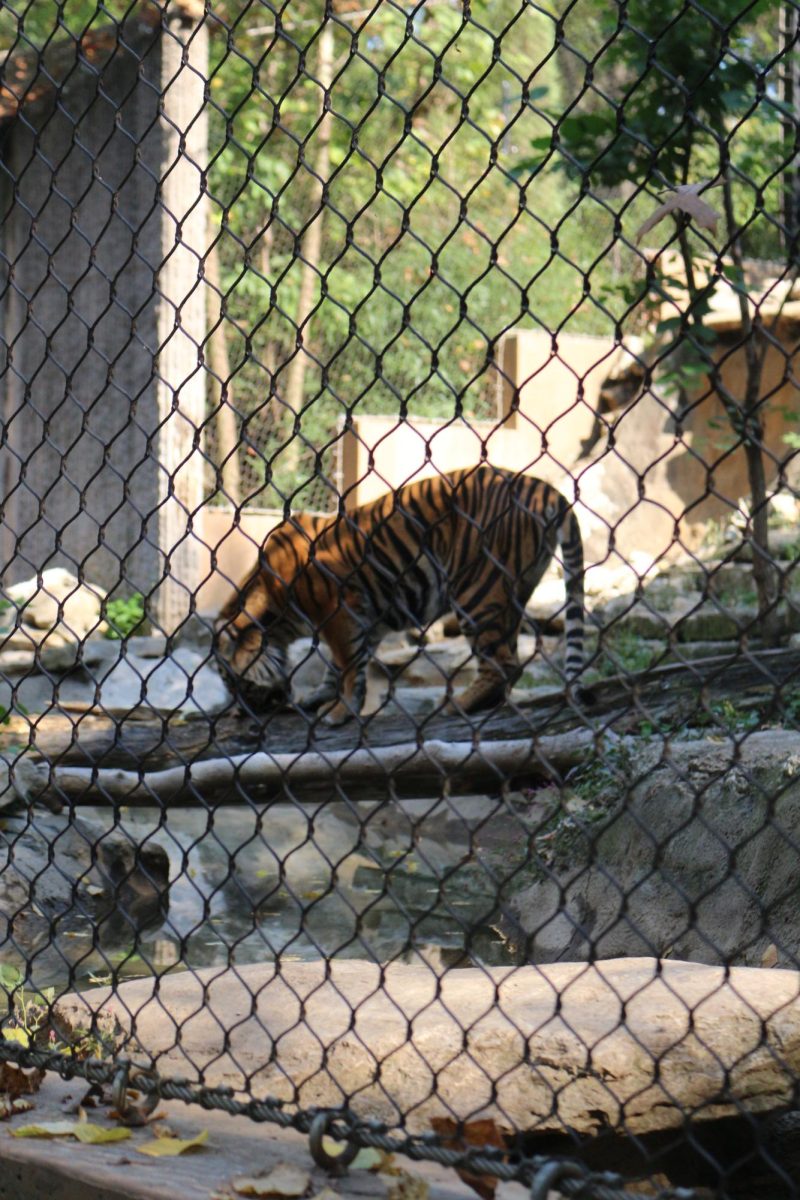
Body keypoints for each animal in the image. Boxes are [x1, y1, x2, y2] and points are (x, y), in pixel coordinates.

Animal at [214, 463, 582, 724]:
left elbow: (347, 664)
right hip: (514, 591)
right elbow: (342, 664)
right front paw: (320, 697)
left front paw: (339, 712)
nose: (238, 712)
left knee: (503, 663)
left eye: (232, 681)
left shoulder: (338, 611)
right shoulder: (366, 616)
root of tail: (546, 489)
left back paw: (457, 704)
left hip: (476, 590)